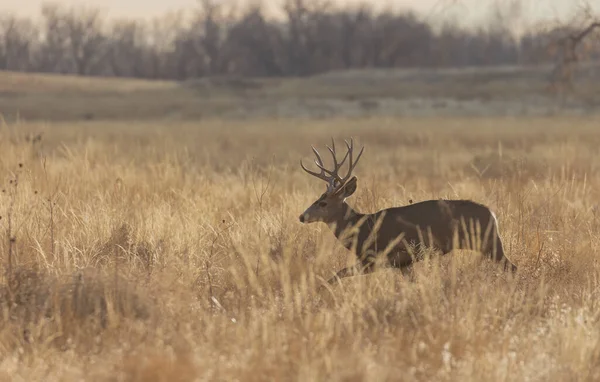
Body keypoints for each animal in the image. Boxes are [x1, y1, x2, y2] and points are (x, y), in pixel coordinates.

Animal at [298, 139, 516, 286]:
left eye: (323, 203)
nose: (302, 216)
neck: (363, 229)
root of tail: (493, 214)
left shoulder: (380, 257)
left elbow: (338, 274)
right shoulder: (403, 264)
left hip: (491, 243)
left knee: (512, 267)